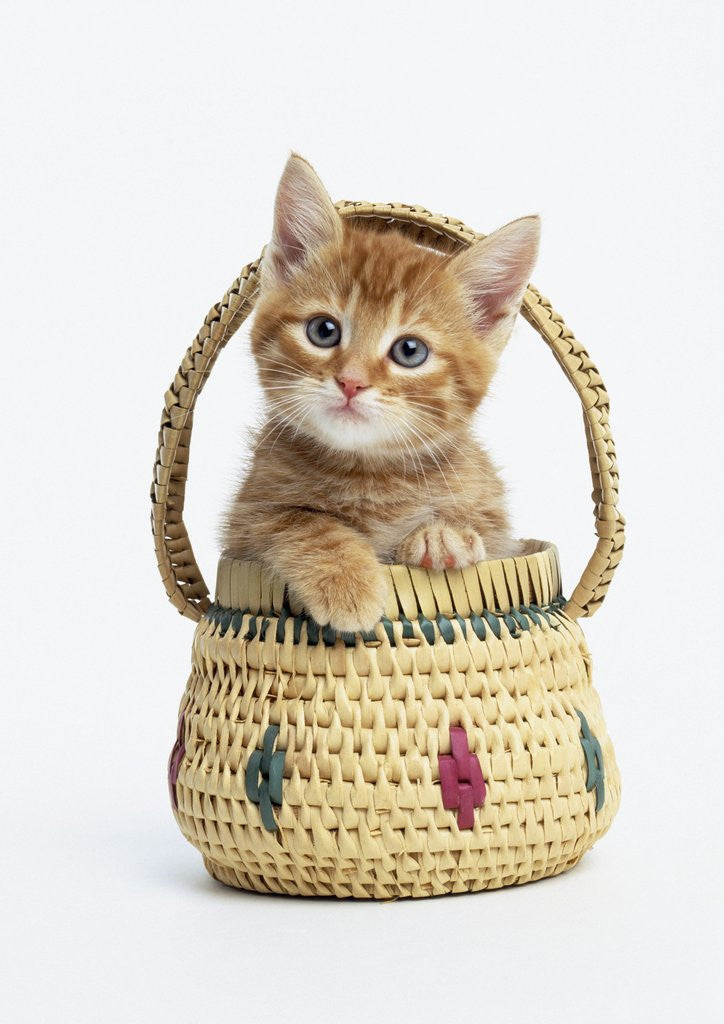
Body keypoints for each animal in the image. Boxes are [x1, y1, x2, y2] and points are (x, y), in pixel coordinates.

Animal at [223, 153, 540, 630]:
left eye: (410, 351)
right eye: (323, 330)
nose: (351, 382)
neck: (370, 474)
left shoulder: (500, 531)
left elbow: (485, 533)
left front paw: (440, 535)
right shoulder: (243, 523)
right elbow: (300, 521)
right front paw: (347, 580)